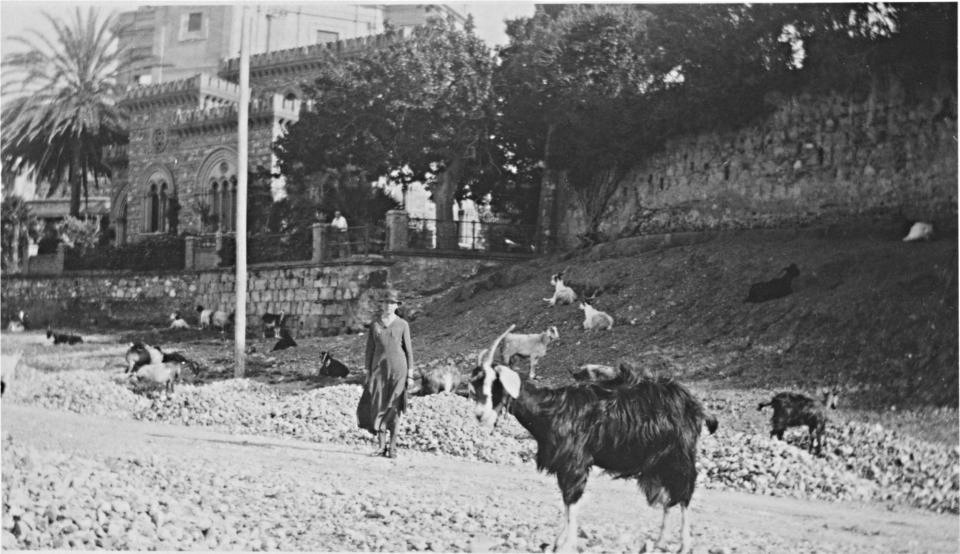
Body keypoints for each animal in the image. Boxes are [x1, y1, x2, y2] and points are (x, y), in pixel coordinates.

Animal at [468, 324, 716, 552]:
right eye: (475, 385)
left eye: (495, 383)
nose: (480, 415)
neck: (550, 410)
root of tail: (694, 404)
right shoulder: (564, 465)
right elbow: (567, 502)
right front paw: (559, 541)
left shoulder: (575, 462)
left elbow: (571, 501)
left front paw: (566, 543)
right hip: (659, 462)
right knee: (668, 499)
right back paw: (660, 541)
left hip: (679, 455)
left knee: (684, 494)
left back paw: (684, 544)